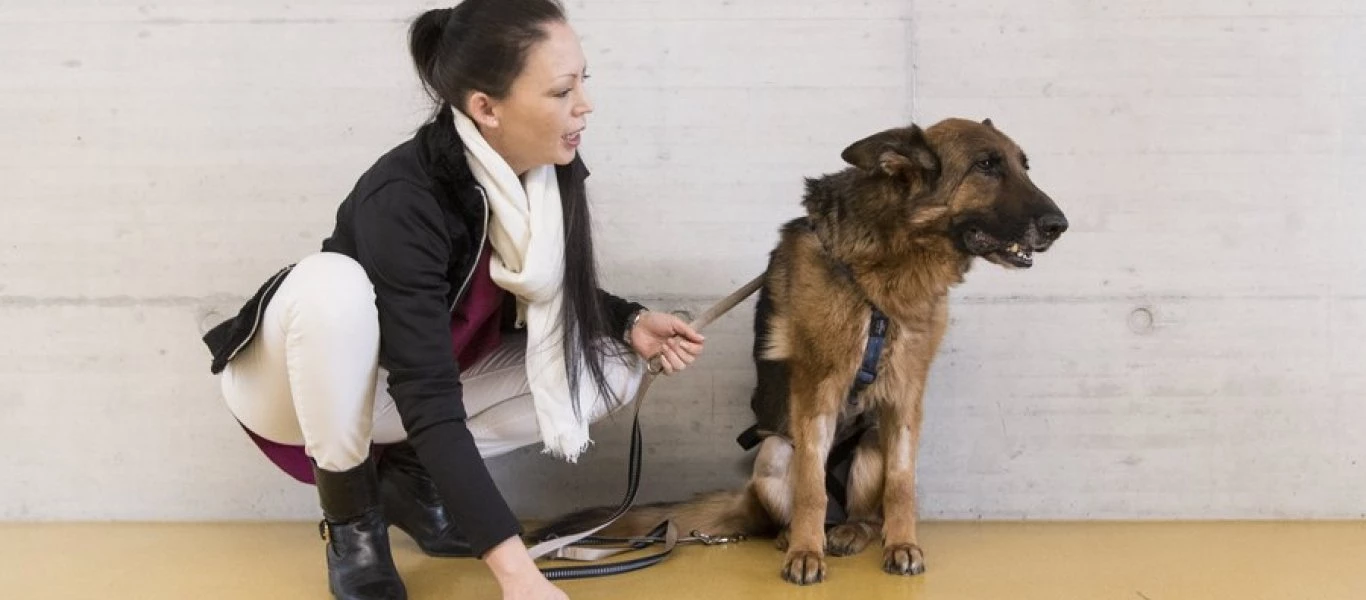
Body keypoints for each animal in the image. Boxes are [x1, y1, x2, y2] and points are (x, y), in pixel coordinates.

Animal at [540, 117, 1065, 582]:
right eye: (986, 165)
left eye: (1024, 166)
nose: (1059, 225)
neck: (891, 261)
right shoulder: (817, 390)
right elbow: (812, 488)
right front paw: (806, 555)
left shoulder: (906, 397)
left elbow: (902, 485)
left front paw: (903, 544)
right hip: (774, 452)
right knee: (800, 503)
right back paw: (794, 537)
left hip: (871, 444)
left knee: (862, 512)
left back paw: (852, 532)